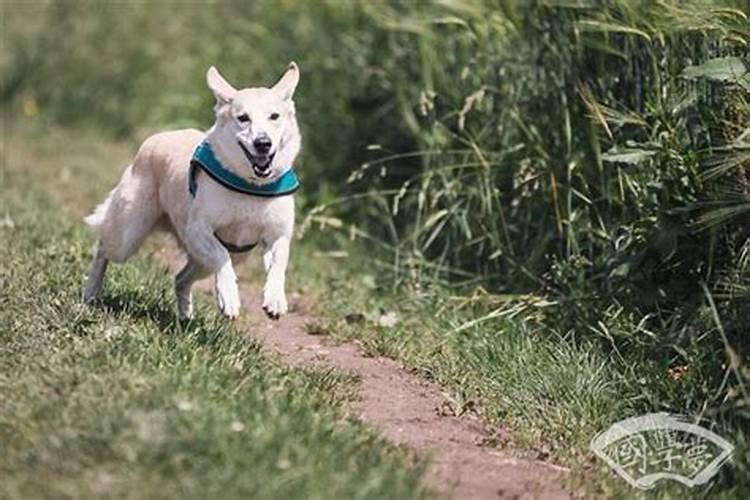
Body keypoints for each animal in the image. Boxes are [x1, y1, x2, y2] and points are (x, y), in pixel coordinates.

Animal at [83, 63, 302, 320]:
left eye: (274, 116)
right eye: (243, 118)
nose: (263, 143)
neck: (251, 185)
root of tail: (155, 138)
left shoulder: (277, 235)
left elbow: (279, 264)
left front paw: (275, 299)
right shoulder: (198, 229)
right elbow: (221, 256)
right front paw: (229, 298)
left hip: (218, 258)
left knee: (180, 278)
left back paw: (186, 317)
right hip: (128, 233)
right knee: (103, 248)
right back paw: (90, 293)